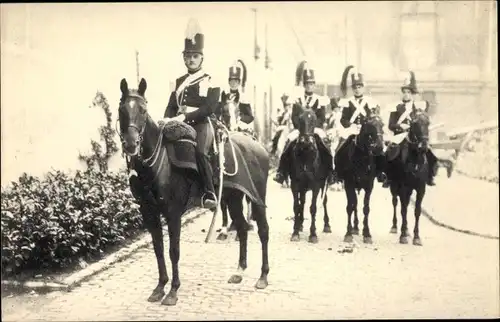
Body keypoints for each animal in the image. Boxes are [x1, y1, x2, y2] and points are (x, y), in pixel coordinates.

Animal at [118, 78, 270, 306]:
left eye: (143, 110)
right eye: (121, 110)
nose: (130, 144)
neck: (156, 166)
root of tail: (258, 146)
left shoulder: (173, 213)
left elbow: (173, 251)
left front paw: (173, 291)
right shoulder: (148, 212)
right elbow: (158, 248)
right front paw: (159, 287)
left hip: (257, 198)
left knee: (263, 231)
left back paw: (263, 276)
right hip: (233, 197)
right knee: (242, 228)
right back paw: (239, 272)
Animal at [288, 109, 330, 243]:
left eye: (314, 120)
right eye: (300, 120)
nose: (306, 140)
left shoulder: (316, 185)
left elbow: (313, 208)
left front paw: (313, 234)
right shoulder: (295, 184)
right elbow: (296, 206)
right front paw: (295, 232)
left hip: (324, 185)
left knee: (324, 201)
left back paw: (327, 225)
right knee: (302, 202)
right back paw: (300, 224)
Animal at [334, 112, 384, 243]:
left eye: (382, 125)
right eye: (369, 125)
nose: (379, 147)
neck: (362, 158)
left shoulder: (369, 186)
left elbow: (366, 208)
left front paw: (367, 234)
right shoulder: (348, 184)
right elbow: (350, 207)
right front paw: (348, 233)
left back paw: (356, 228)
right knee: (353, 204)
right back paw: (354, 228)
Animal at [386, 109, 430, 245]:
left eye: (428, 123)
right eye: (415, 123)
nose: (423, 146)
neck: (415, 160)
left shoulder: (421, 189)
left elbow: (417, 211)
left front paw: (416, 236)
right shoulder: (403, 188)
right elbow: (404, 209)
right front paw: (403, 235)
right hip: (394, 186)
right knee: (395, 202)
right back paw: (395, 227)